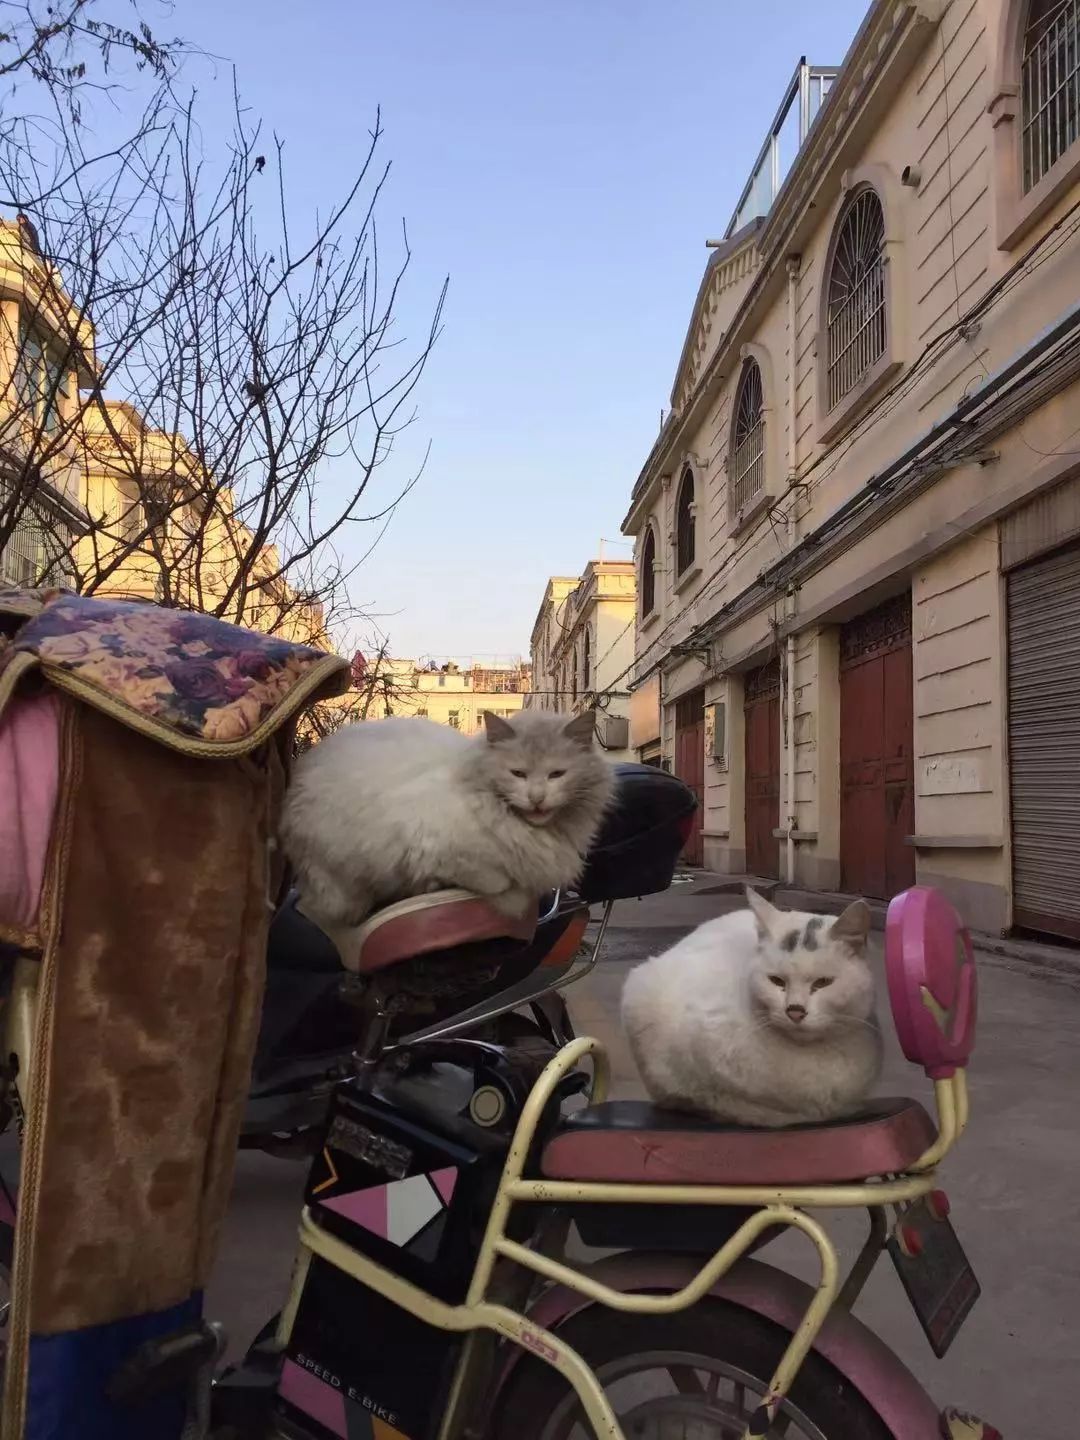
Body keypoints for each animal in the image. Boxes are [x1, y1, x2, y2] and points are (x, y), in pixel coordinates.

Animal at [279, 708, 616, 933]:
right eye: (517, 774)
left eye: (557, 774)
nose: (537, 798)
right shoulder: (432, 845)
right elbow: (500, 883)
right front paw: (512, 900)